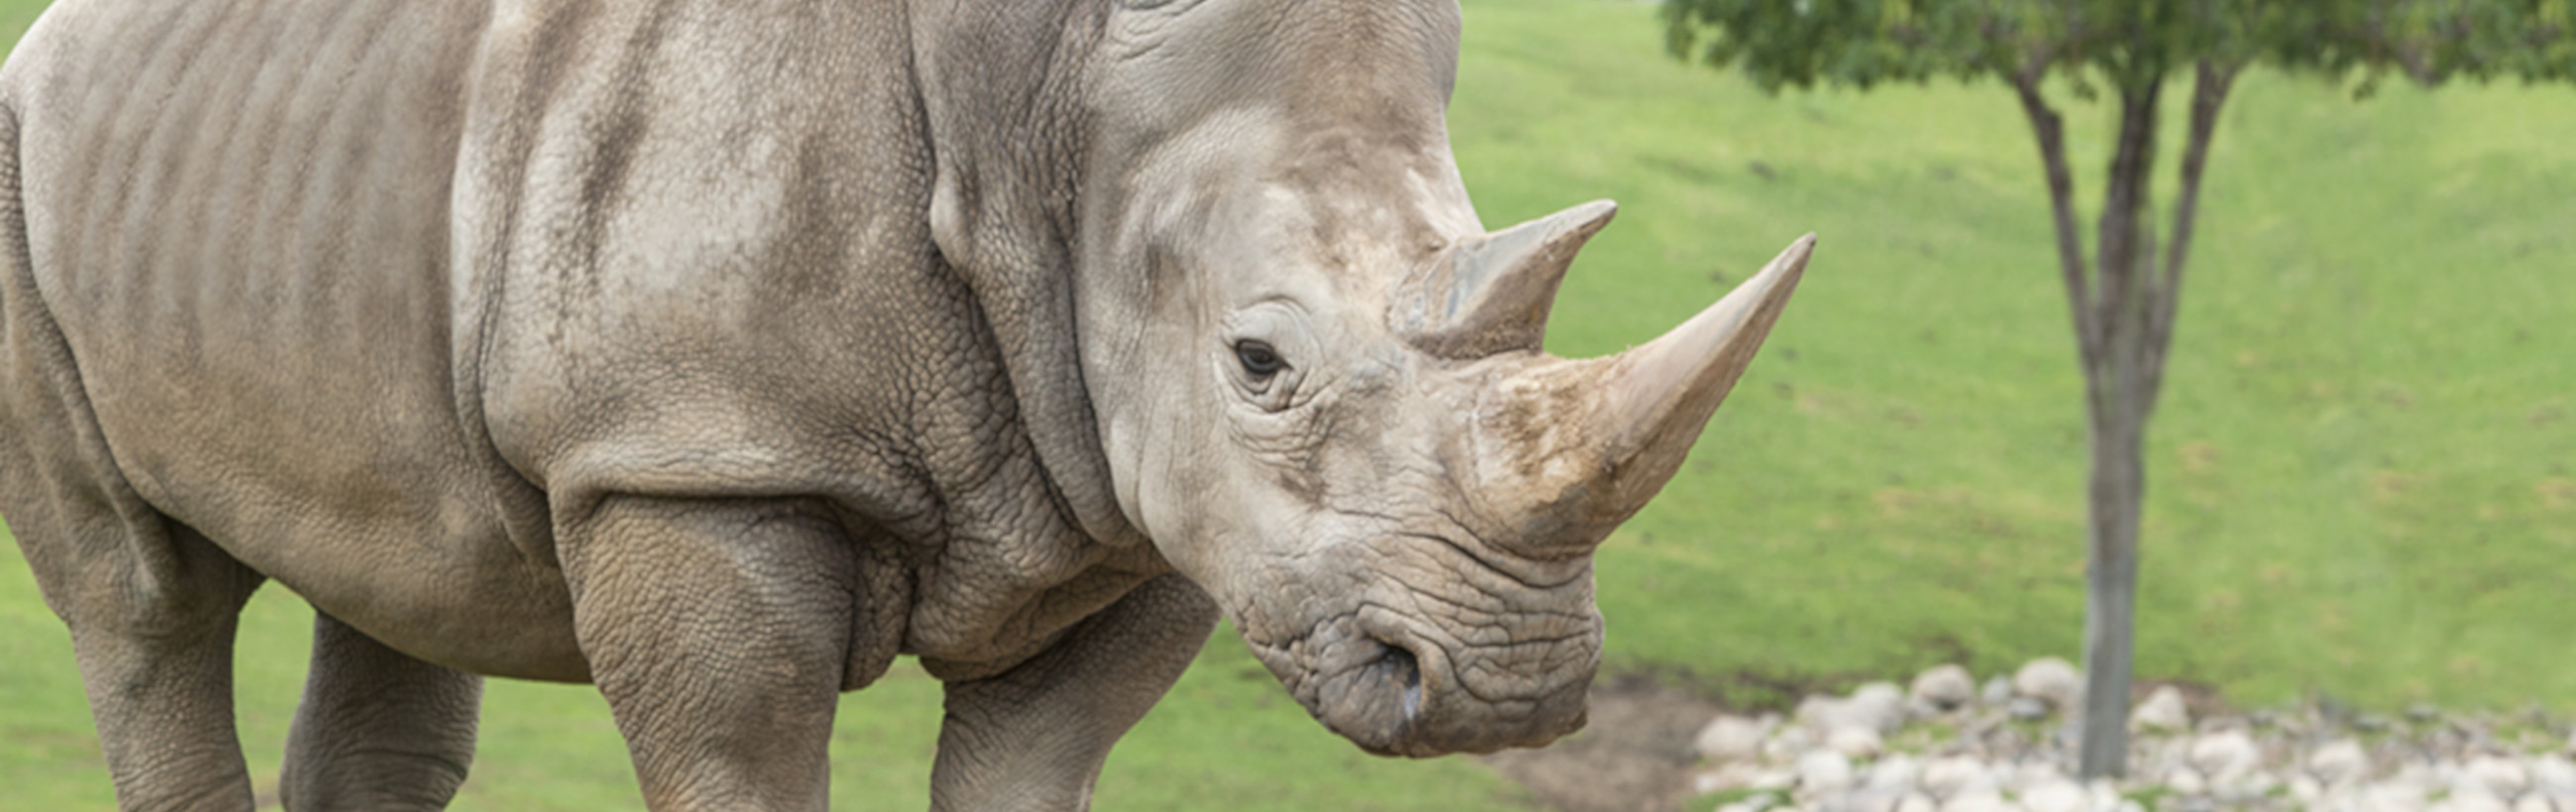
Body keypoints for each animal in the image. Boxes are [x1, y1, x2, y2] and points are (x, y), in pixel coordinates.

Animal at [0, 0, 1813, 808]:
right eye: (1261, 365)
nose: (1508, 683)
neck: (1057, 109)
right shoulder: (695, 458)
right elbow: (739, 749)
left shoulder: (1140, 511)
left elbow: (1036, 758)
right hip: (16, 163)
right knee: (143, 601)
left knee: (401, 571)